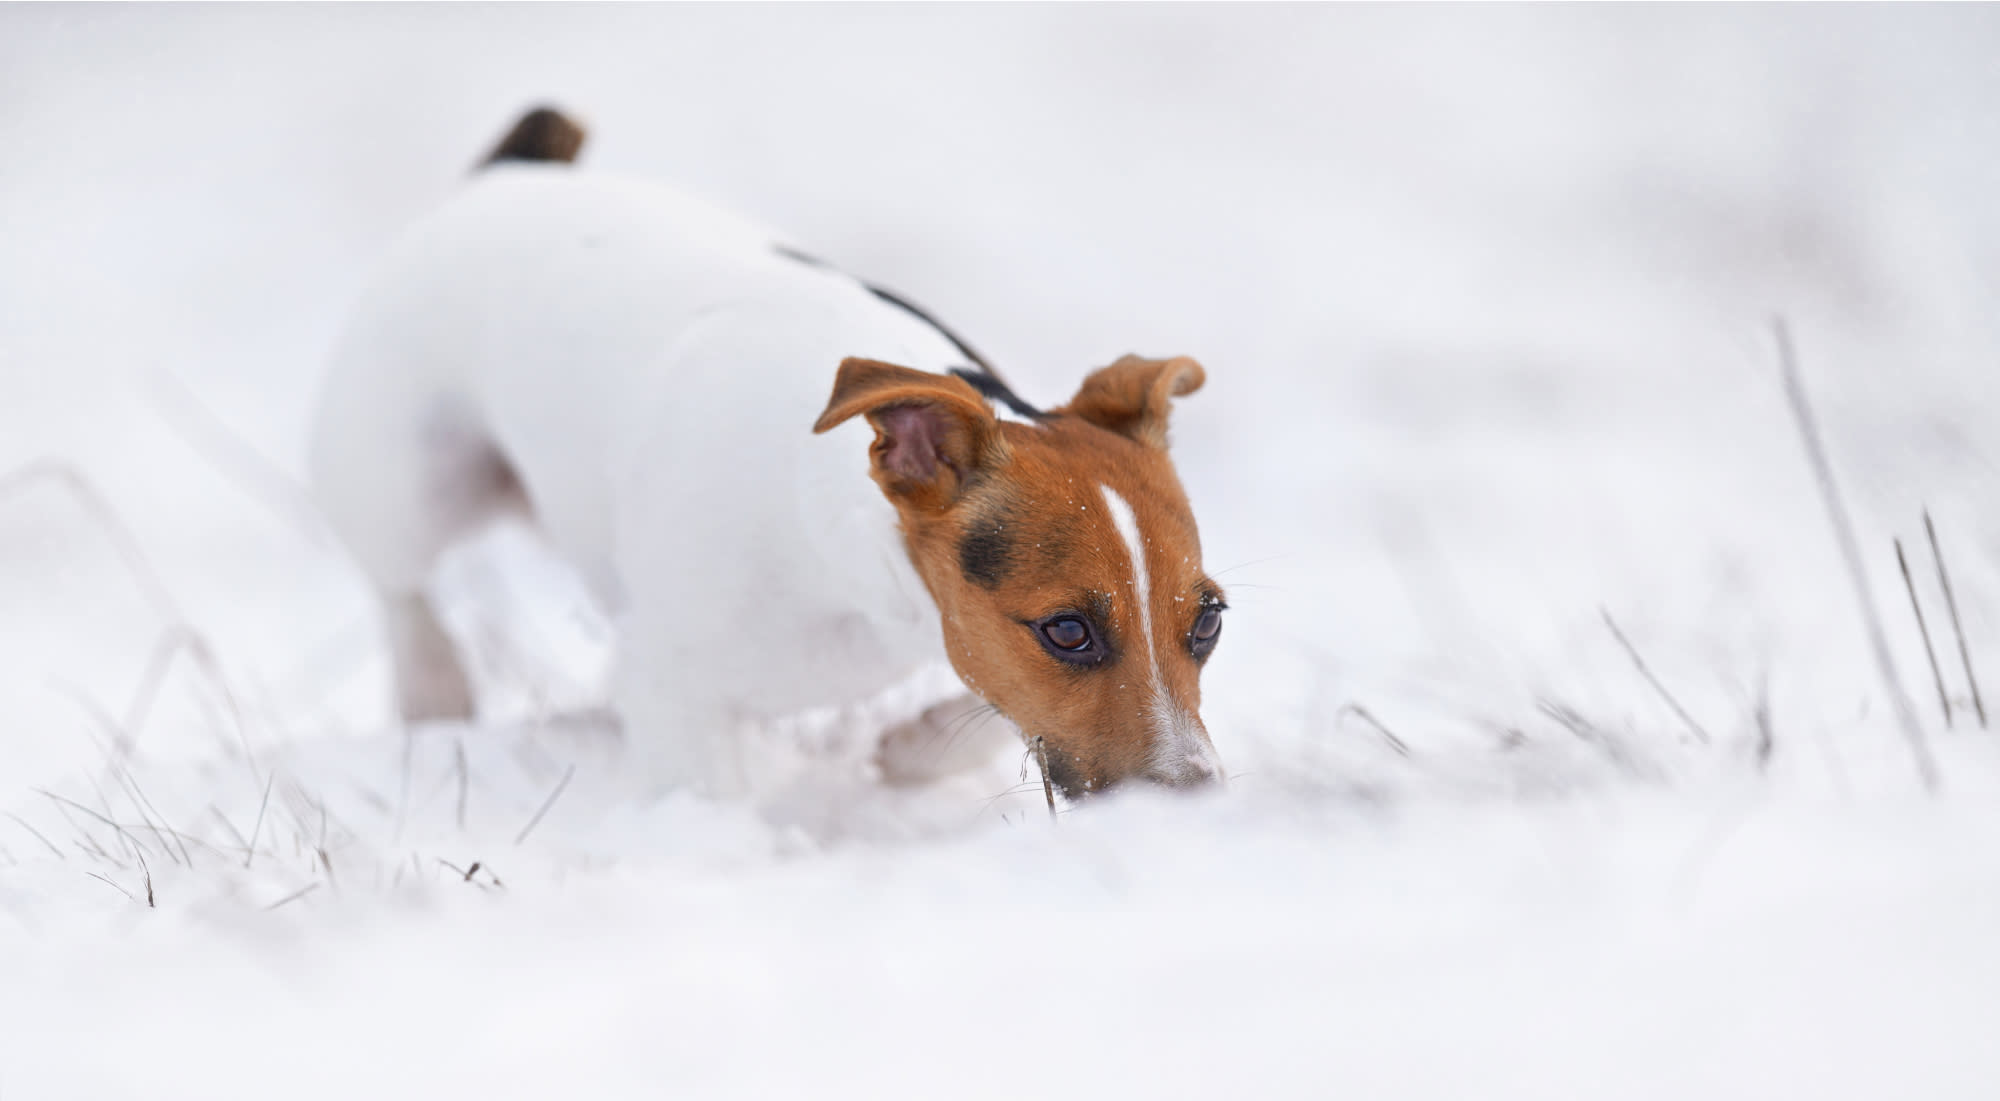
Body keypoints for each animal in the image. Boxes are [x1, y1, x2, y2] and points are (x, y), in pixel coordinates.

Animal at [312, 108, 1224, 804]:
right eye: (1067, 630)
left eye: (1208, 621)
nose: (1194, 798)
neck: (861, 579)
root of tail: (511, 173)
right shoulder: (669, 678)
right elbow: (702, 787)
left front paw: (918, 747)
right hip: (409, 477)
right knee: (399, 584)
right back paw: (434, 688)